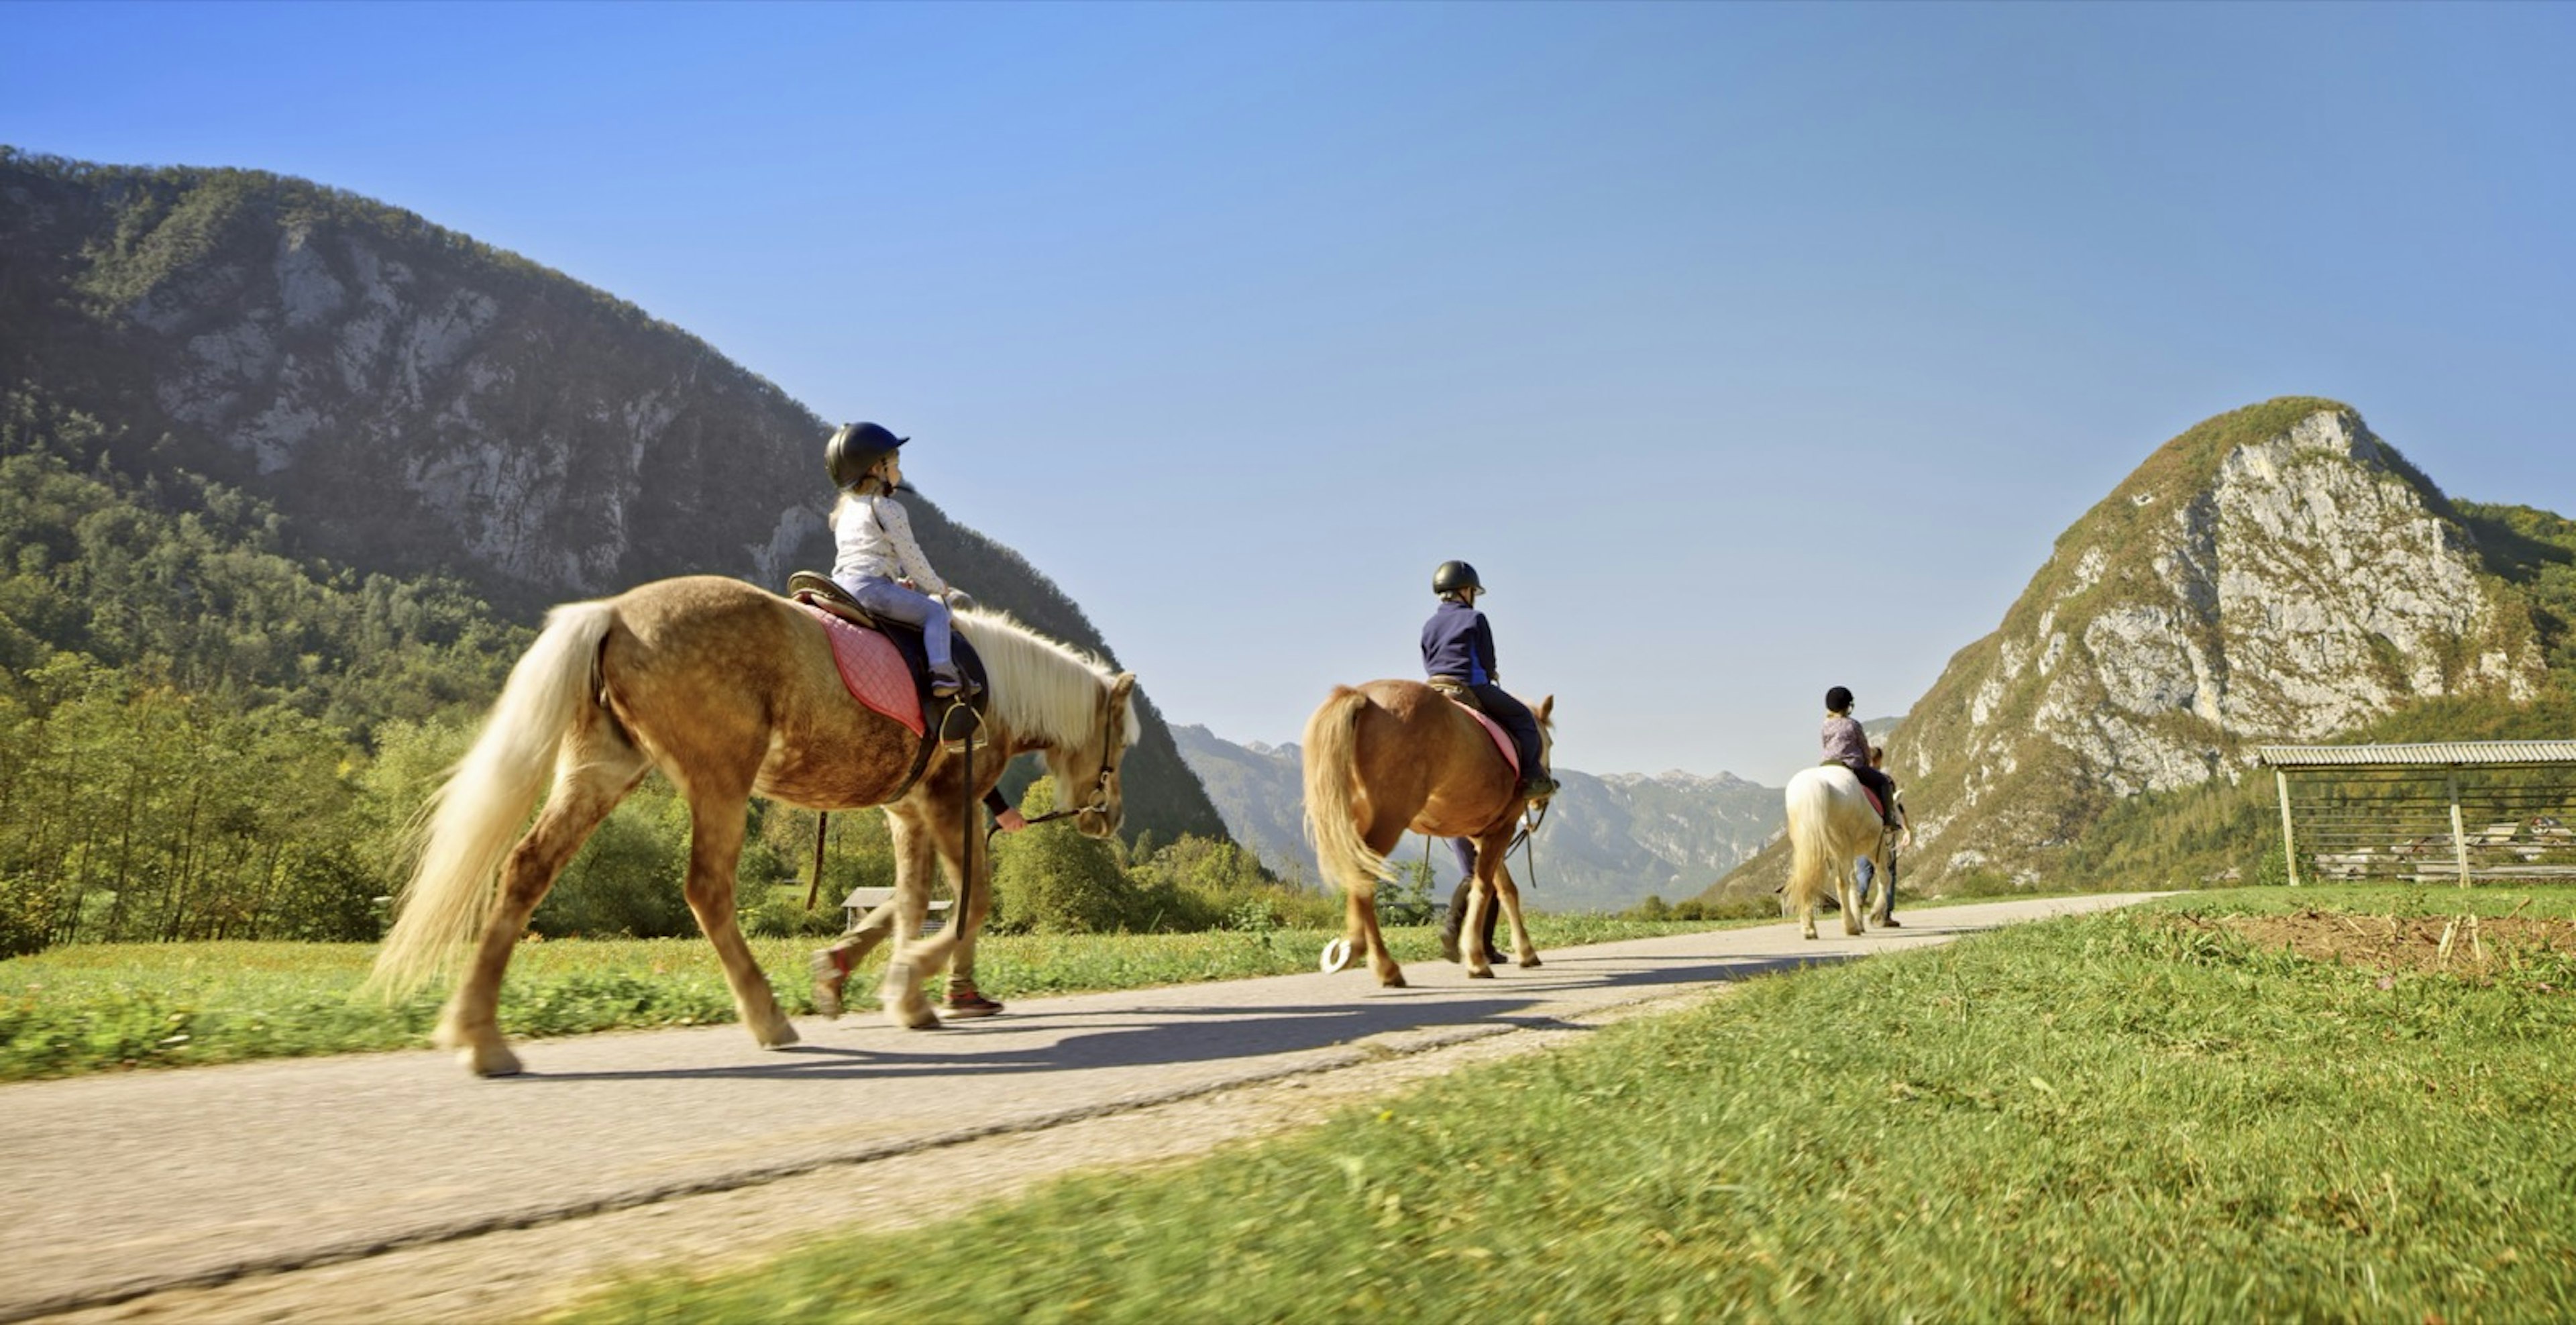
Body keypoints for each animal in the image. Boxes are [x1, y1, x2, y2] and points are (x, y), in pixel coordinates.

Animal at [368, 572, 1133, 1067]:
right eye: (1121, 742)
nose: (1108, 819)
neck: (990, 684)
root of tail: (612, 613)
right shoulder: (948, 801)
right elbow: (971, 903)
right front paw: (906, 978)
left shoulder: (908, 812)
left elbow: (913, 902)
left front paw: (891, 991)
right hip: (720, 782)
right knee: (708, 890)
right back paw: (768, 1016)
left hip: (601, 768)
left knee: (528, 866)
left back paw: (480, 1034)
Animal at [1298, 680, 1556, 979]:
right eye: (1549, 743)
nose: (1544, 794)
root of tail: (1361, 696)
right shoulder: (1503, 826)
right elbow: (1483, 887)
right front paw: (1477, 958)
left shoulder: (1480, 832)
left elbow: (1503, 889)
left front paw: (1524, 951)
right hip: (1388, 821)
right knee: (1364, 879)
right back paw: (1382, 964)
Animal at [1782, 763, 1906, 938]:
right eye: (1898, 809)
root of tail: (1814, 785)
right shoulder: (1877, 848)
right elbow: (1884, 878)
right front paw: (1874, 914)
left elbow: (1855, 884)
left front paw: (1860, 919)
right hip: (1843, 848)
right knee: (1841, 883)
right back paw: (1850, 927)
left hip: (1810, 849)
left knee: (1807, 881)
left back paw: (1809, 928)